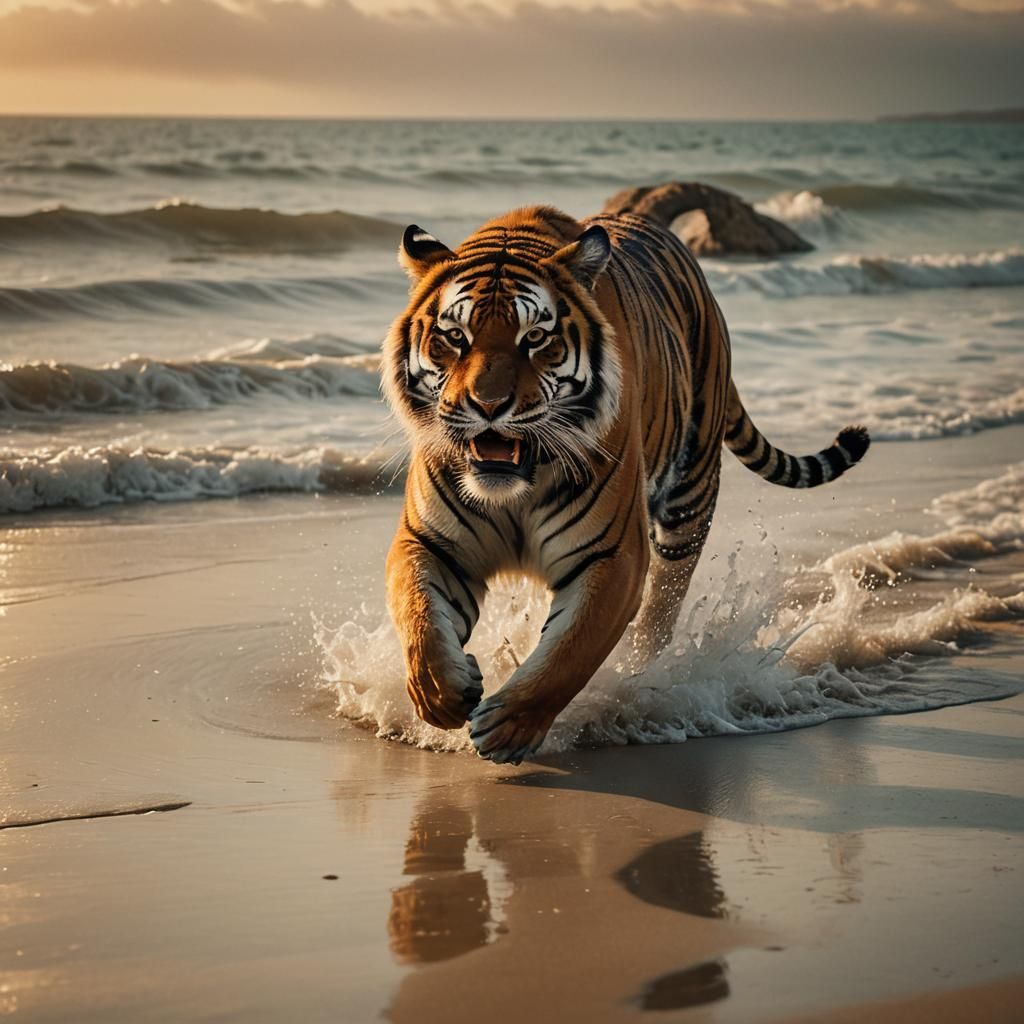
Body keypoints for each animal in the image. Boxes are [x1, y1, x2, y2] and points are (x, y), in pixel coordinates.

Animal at [382, 205, 869, 765]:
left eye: (535, 339)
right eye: (456, 337)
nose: (487, 406)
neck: (515, 485)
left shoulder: (614, 556)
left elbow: (571, 651)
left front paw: (509, 727)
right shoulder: (431, 543)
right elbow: (419, 617)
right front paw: (441, 696)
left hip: (687, 504)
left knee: (661, 610)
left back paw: (640, 678)